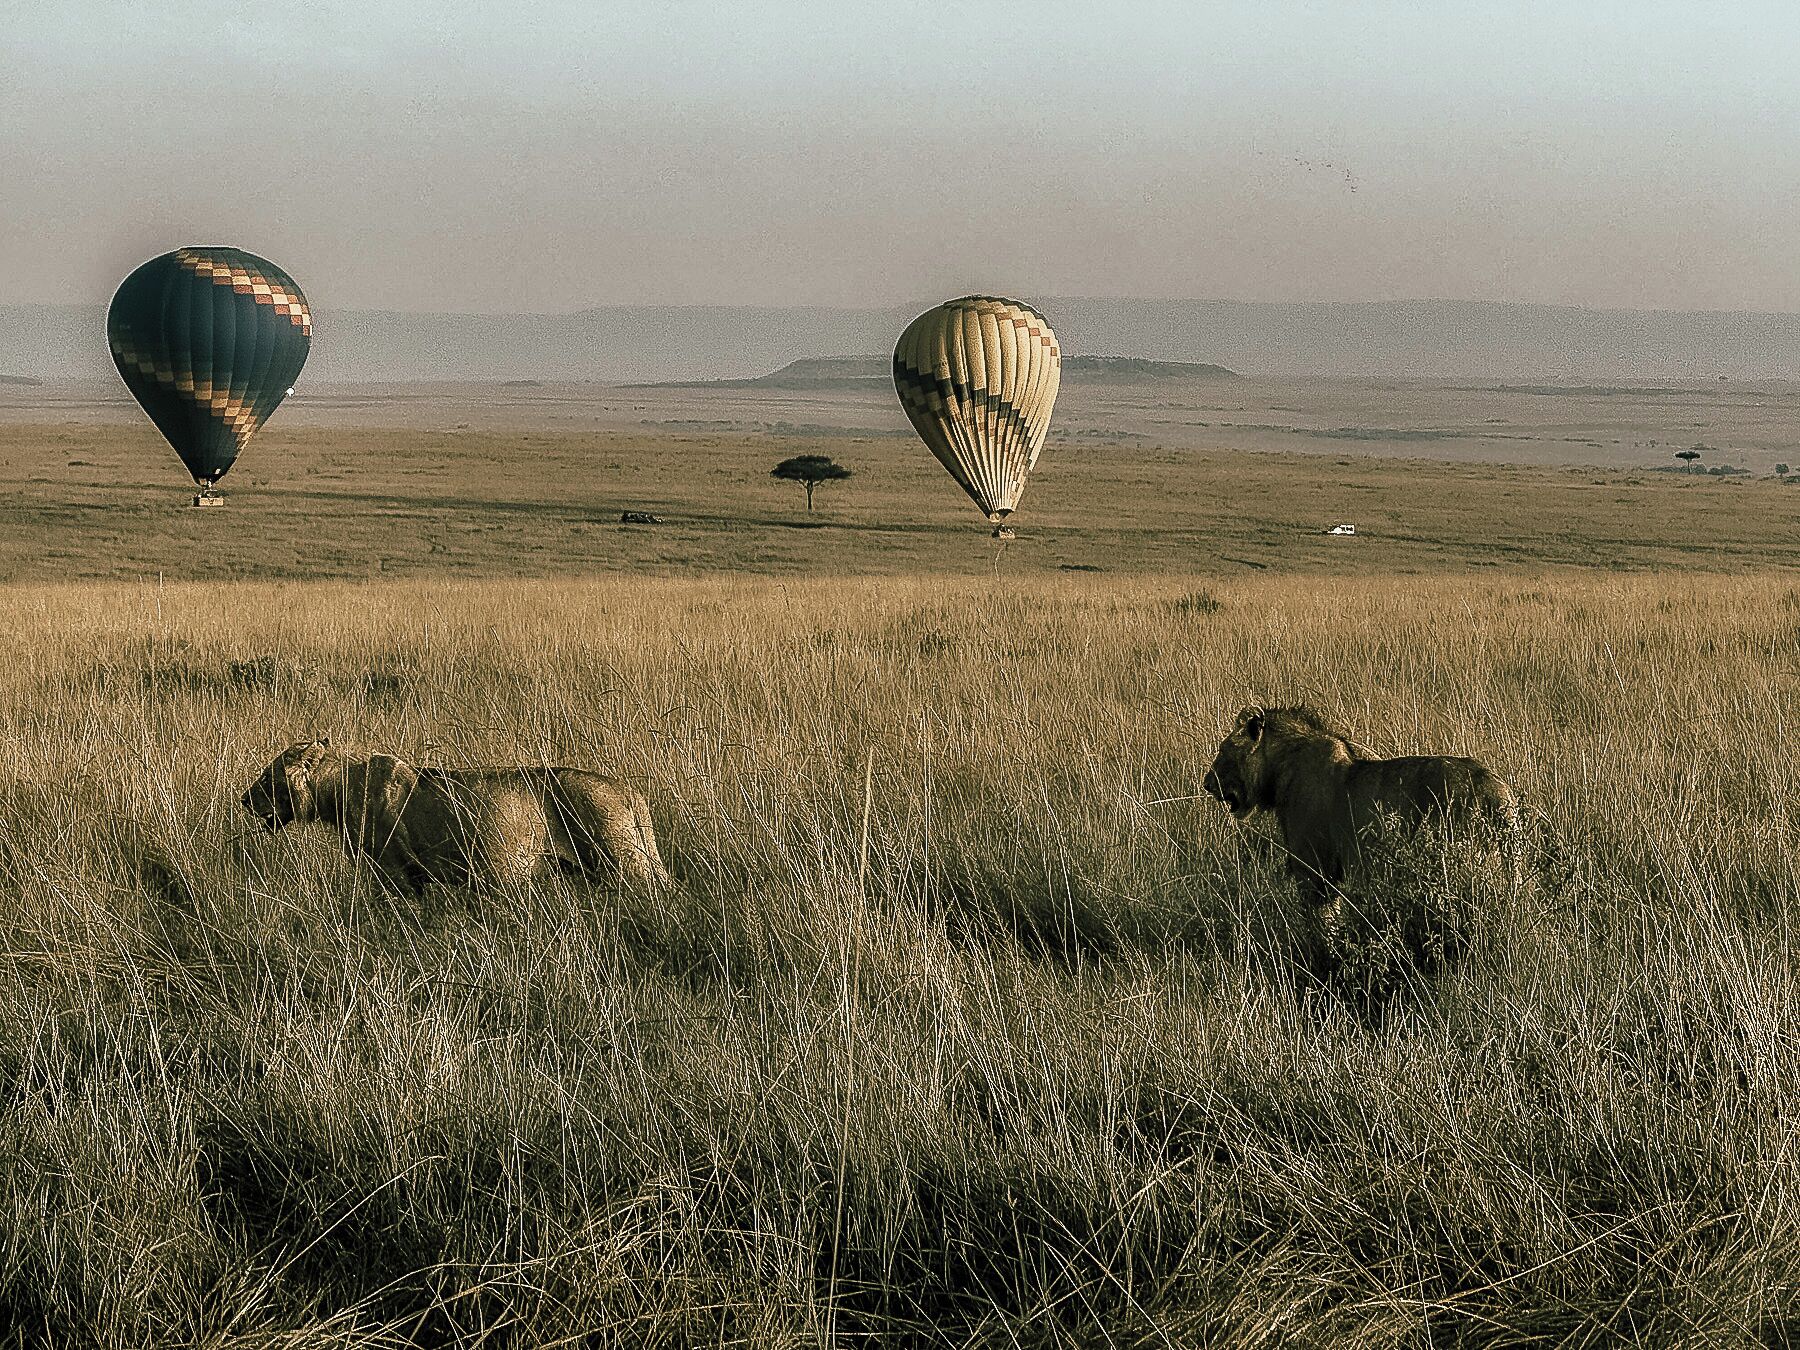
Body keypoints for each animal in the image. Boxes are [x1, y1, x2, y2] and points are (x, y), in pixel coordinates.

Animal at [242, 740, 670, 893]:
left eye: (268, 777)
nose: (244, 800)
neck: (339, 786)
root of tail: (629, 791)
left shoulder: (392, 872)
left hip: (626, 863)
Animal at [1202, 706, 1521, 960]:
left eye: (1223, 750)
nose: (1206, 783)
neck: (1281, 765)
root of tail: (1498, 795)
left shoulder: (1315, 870)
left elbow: (1322, 922)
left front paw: (1324, 955)